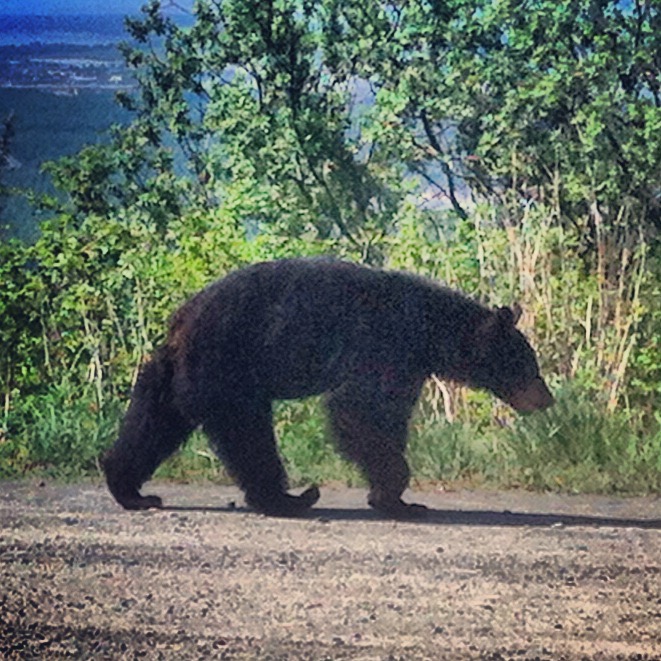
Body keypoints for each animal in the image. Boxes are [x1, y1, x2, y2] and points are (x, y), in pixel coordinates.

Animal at [102, 258, 553, 518]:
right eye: (529, 366)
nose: (547, 399)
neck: (428, 329)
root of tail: (180, 322)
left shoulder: (408, 366)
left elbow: (386, 416)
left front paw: (397, 498)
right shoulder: (383, 344)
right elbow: (357, 409)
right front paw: (395, 496)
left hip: (175, 375)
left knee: (152, 423)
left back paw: (130, 489)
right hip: (227, 367)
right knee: (248, 435)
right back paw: (288, 499)